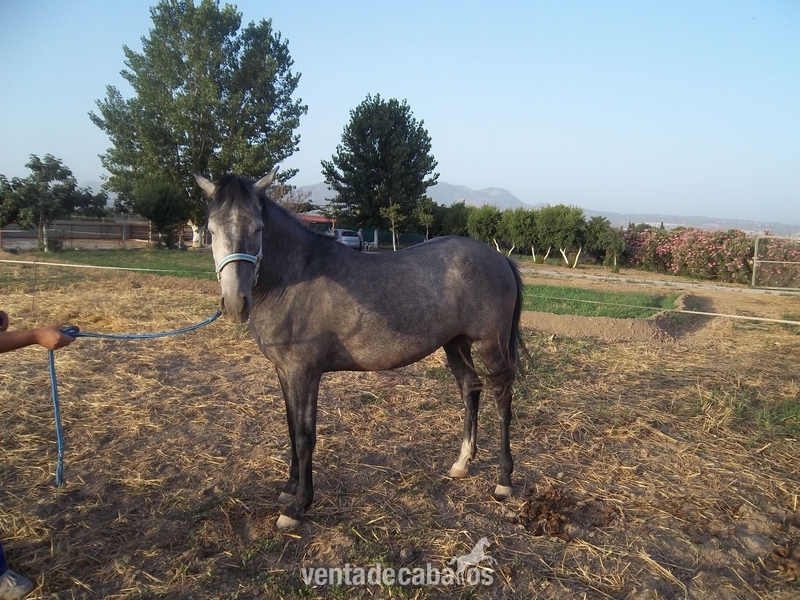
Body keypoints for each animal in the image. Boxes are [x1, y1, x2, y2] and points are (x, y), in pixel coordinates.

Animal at [195, 169, 525, 529]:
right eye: (211, 230)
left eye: (258, 228)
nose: (235, 304)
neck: (294, 278)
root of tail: (499, 257)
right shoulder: (284, 371)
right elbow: (291, 428)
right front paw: (289, 488)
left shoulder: (304, 373)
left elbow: (304, 435)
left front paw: (297, 506)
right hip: (456, 345)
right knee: (470, 390)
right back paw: (462, 463)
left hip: (490, 348)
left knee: (502, 401)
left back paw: (504, 481)